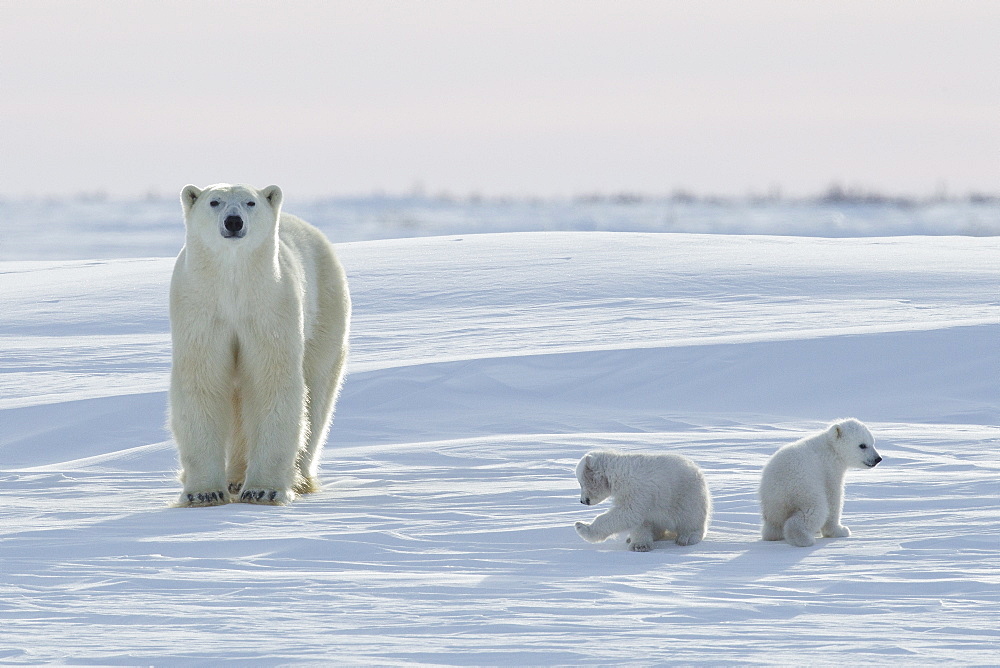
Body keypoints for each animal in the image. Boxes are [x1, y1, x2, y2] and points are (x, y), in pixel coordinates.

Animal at [174, 183, 354, 506]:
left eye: (250, 202)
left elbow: (270, 380)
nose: (234, 221)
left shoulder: (270, 306)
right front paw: (204, 493)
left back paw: (299, 478)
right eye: (214, 202)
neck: (233, 284)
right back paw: (233, 479)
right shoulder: (200, 308)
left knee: (318, 394)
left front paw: (263, 490)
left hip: (326, 309)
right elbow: (202, 381)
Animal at [756, 420, 884, 544]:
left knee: (773, 523)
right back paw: (804, 538)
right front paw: (839, 530)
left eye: (872, 442)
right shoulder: (829, 469)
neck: (831, 447)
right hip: (805, 488)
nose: (878, 459)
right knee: (814, 511)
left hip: (772, 503)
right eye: (862, 445)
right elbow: (833, 498)